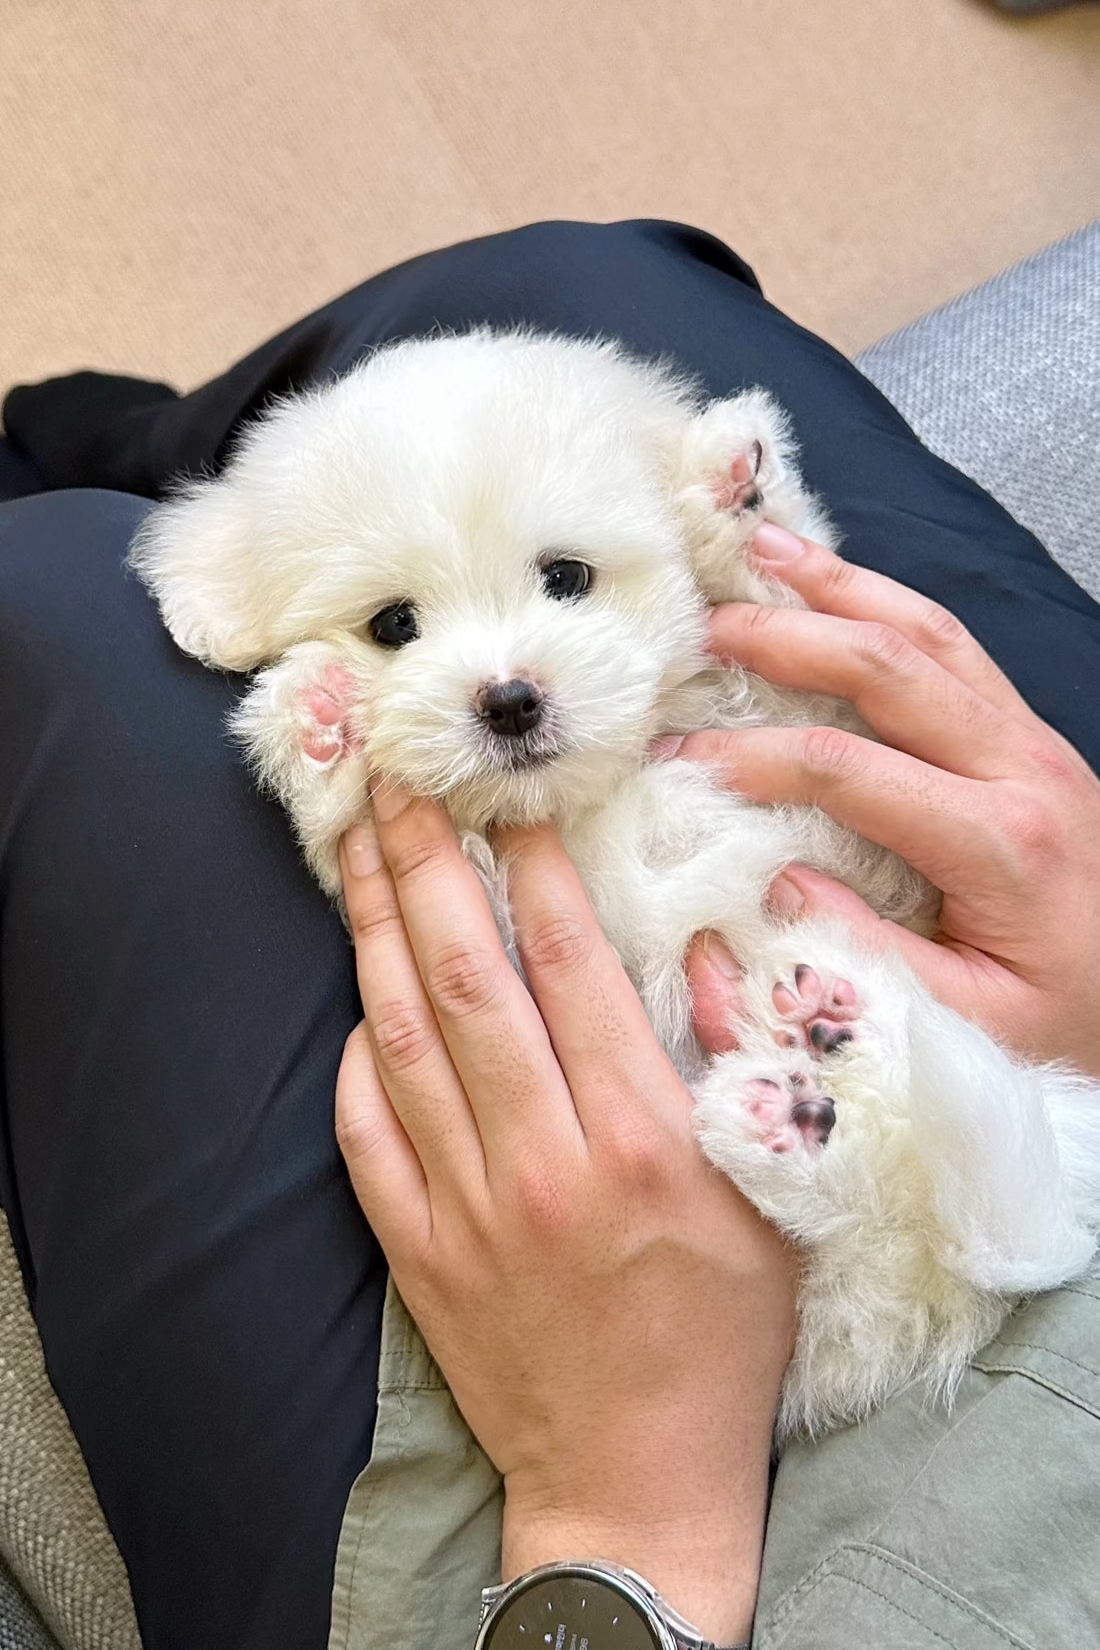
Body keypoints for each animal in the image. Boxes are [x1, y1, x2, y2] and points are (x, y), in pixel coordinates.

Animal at [133, 328, 1100, 1438]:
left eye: (566, 576)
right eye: (391, 625)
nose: (509, 698)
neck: (593, 790)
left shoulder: (807, 723)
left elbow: (781, 609)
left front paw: (730, 495)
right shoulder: (494, 915)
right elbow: (363, 833)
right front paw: (318, 716)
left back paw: (828, 1062)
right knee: (873, 1262)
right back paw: (806, 1099)